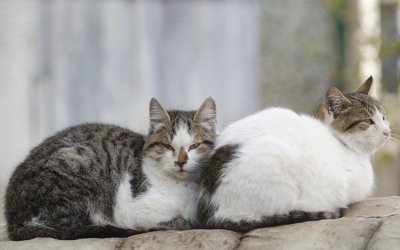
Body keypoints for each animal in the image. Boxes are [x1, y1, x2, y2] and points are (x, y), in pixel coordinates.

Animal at [5, 97, 216, 240]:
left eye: (194, 146)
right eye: (168, 147)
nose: (180, 162)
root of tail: (12, 217)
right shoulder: (134, 208)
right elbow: (174, 220)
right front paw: (178, 222)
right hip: (79, 162)